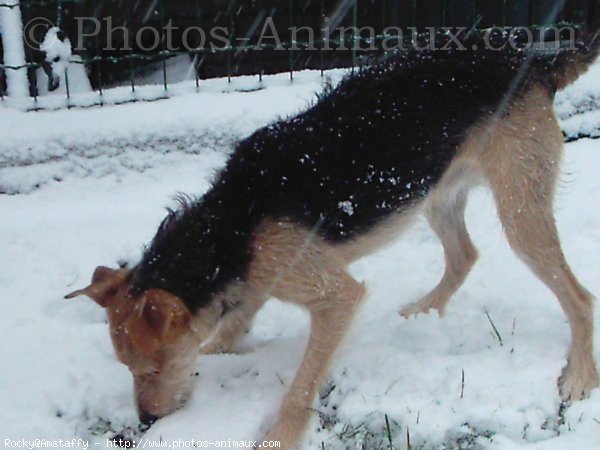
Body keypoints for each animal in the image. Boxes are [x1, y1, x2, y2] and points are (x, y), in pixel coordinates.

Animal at [65, 8, 600, 448]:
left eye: (153, 367)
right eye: (127, 369)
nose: (145, 423)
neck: (231, 228)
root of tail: (531, 63)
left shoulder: (335, 296)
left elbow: (301, 386)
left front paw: (279, 437)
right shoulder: (260, 278)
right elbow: (235, 322)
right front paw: (221, 349)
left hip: (520, 213)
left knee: (579, 298)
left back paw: (578, 376)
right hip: (434, 194)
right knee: (465, 256)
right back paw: (425, 310)